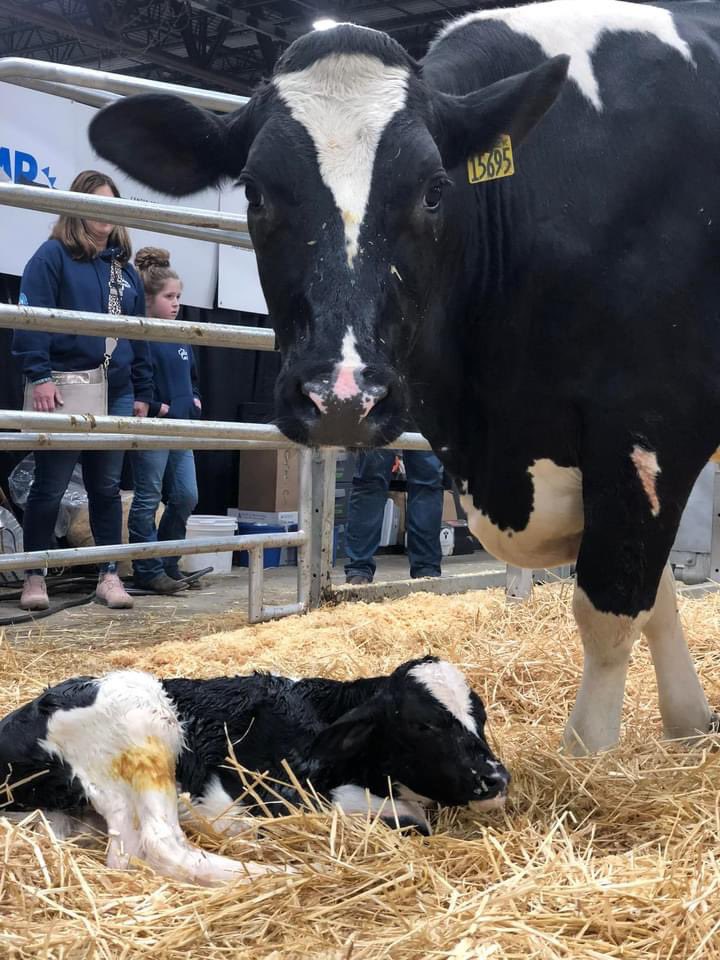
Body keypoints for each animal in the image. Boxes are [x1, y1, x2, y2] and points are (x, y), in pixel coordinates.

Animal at [0, 657, 508, 884]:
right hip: (144, 729)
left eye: (480, 716)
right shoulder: (273, 792)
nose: (497, 778)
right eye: (424, 724)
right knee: (158, 847)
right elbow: (409, 820)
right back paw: (282, 872)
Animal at [89, 0, 720, 756]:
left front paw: (590, 759)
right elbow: (656, 599)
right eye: (254, 191)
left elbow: (613, 609)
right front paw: (689, 723)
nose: (342, 397)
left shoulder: (649, 423)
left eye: (435, 190)